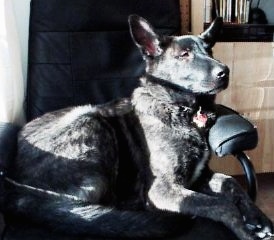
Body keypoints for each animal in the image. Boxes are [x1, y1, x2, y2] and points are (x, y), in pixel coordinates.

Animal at [2, 15, 274, 240]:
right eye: (184, 55)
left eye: (210, 50)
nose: (224, 72)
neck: (179, 110)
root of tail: (18, 190)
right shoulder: (163, 189)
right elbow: (219, 204)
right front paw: (245, 229)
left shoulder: (198, 177)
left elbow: (232, 184)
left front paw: (259, 218)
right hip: (91, 120)